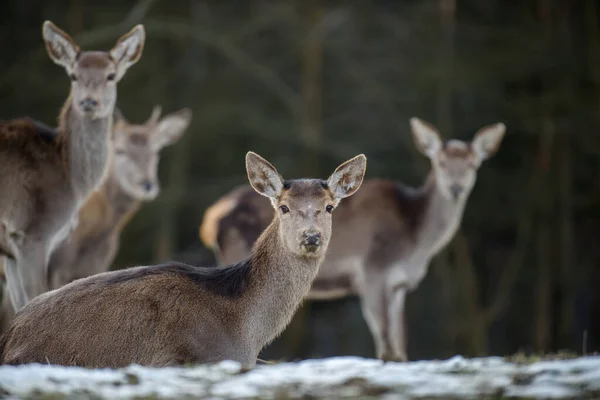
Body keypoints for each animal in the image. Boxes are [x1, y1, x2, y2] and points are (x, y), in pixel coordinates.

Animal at [0, 20, 145, 310]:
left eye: (111, 75)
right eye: (73, 75)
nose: (89, 101)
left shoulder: (11, 250)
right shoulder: (32, 234)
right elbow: (34, 298)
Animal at [199, 117, 504, 360]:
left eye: (473, 163)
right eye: (440, 163)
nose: (456, 188)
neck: (415, 242)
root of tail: (212, 219)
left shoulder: (399, 284)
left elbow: (400, 344)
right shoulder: (373, 271)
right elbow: (386, 345)